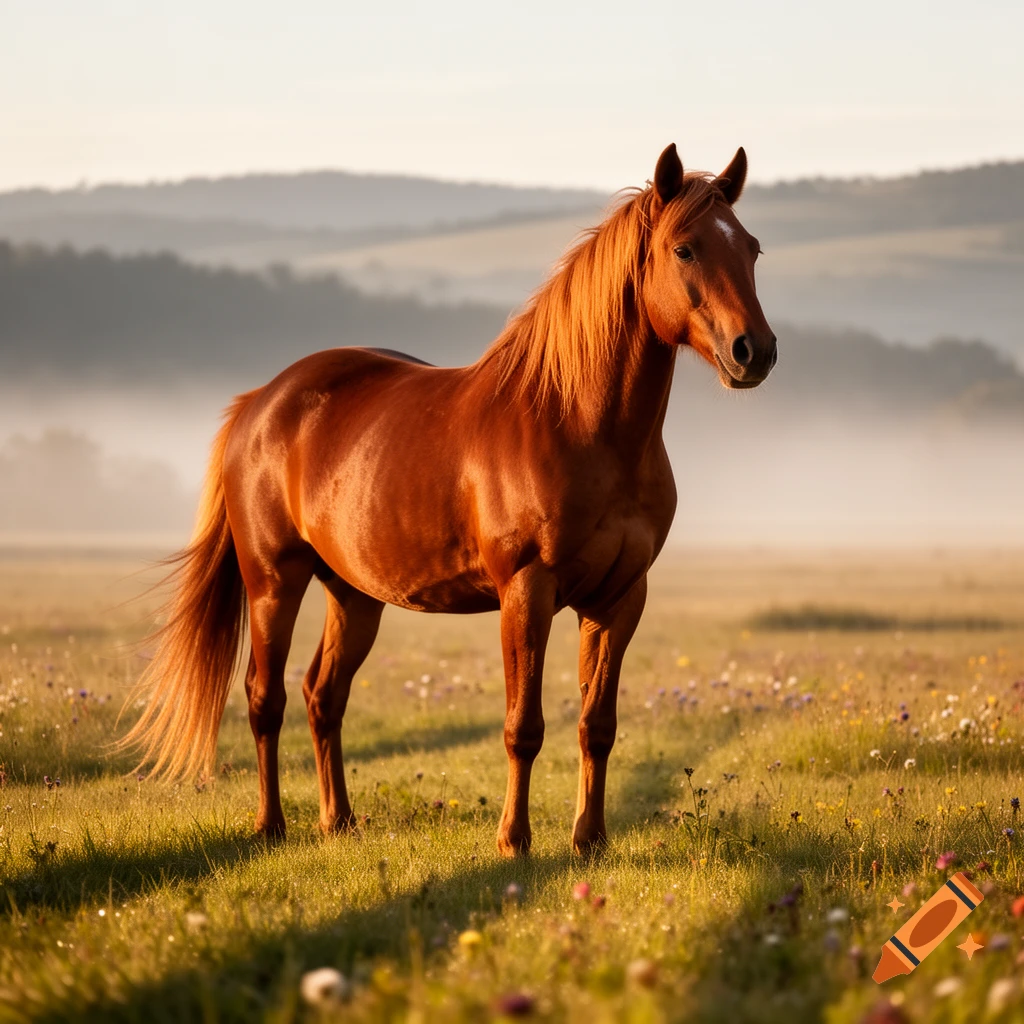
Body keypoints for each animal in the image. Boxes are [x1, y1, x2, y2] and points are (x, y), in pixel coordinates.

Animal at [120, 142, 776, 856]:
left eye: (752, 248)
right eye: (684, 249)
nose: (754, 351)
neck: (579, 424)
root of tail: (260, 403)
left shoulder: (620, 598)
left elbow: (596, 725)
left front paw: (590, 839)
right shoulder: (526, 590)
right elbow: (524, 726)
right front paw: (513, 842)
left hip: (354, 594)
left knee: (324, 695)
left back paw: (338, 819)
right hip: (274, 582)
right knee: (266, 699)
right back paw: (271, 826)